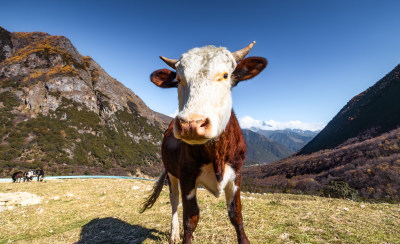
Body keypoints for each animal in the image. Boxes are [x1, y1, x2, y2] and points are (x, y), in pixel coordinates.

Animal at [139, 41, 268, 242]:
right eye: (179, 79)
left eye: (225, 75)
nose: (191, 124)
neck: (217, 155)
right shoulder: (186, 175)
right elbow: (190, 218)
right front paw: (184, 235)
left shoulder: (237, 174)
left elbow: (236, 214)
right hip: (171, 173)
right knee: (174, 200)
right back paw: (174, 233)